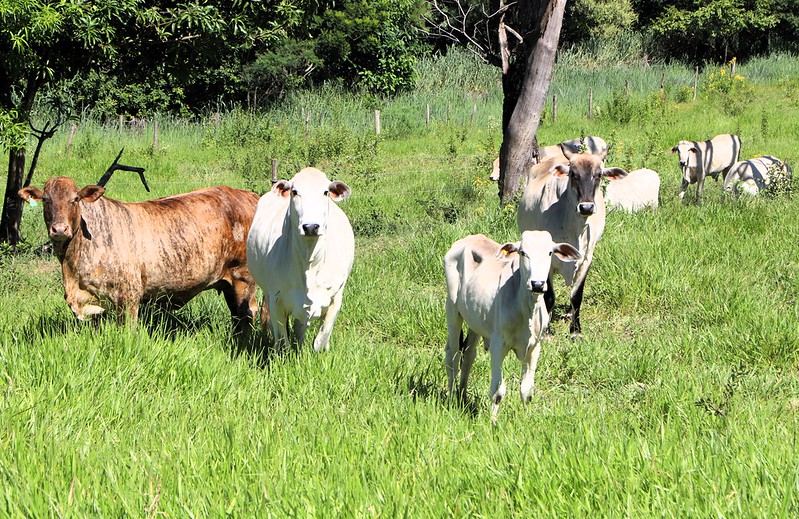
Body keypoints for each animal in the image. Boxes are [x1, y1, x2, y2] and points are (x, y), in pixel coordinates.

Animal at [19, 177, 260, 336]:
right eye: (46, 199)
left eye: (75, 198)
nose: (59, 229)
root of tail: (252, 196)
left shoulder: (129, 296)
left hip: (244, 278)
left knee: (247, 314)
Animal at [245, 169, 354, 352]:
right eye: (294, 192)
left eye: (325, 192)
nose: (310, 227)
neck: (309, 262)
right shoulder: (276, 299)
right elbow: (283, 342)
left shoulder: (336, 298)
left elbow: (320, 340)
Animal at [444, 230, 580, 420]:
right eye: (523, 252)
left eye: (550, 253)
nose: (537, 284)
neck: (526, 310)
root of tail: (467, 239)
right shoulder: (497, 346)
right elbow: (497, 391)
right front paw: (492, 422)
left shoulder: (534, 347)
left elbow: (527, 391)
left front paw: (526, 419)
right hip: (453, 311)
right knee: (453, 356)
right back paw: (451, 400)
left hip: (474, 322)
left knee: (468, 356)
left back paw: (462, 397)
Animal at [516, 152, 628, 336]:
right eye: (573, 174)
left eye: (598, 175)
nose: (586, 207)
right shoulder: (548, 260)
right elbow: (549, 297)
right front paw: (546, 330)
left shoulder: (586, 259)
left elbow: (577, 295)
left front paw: (575, 329)